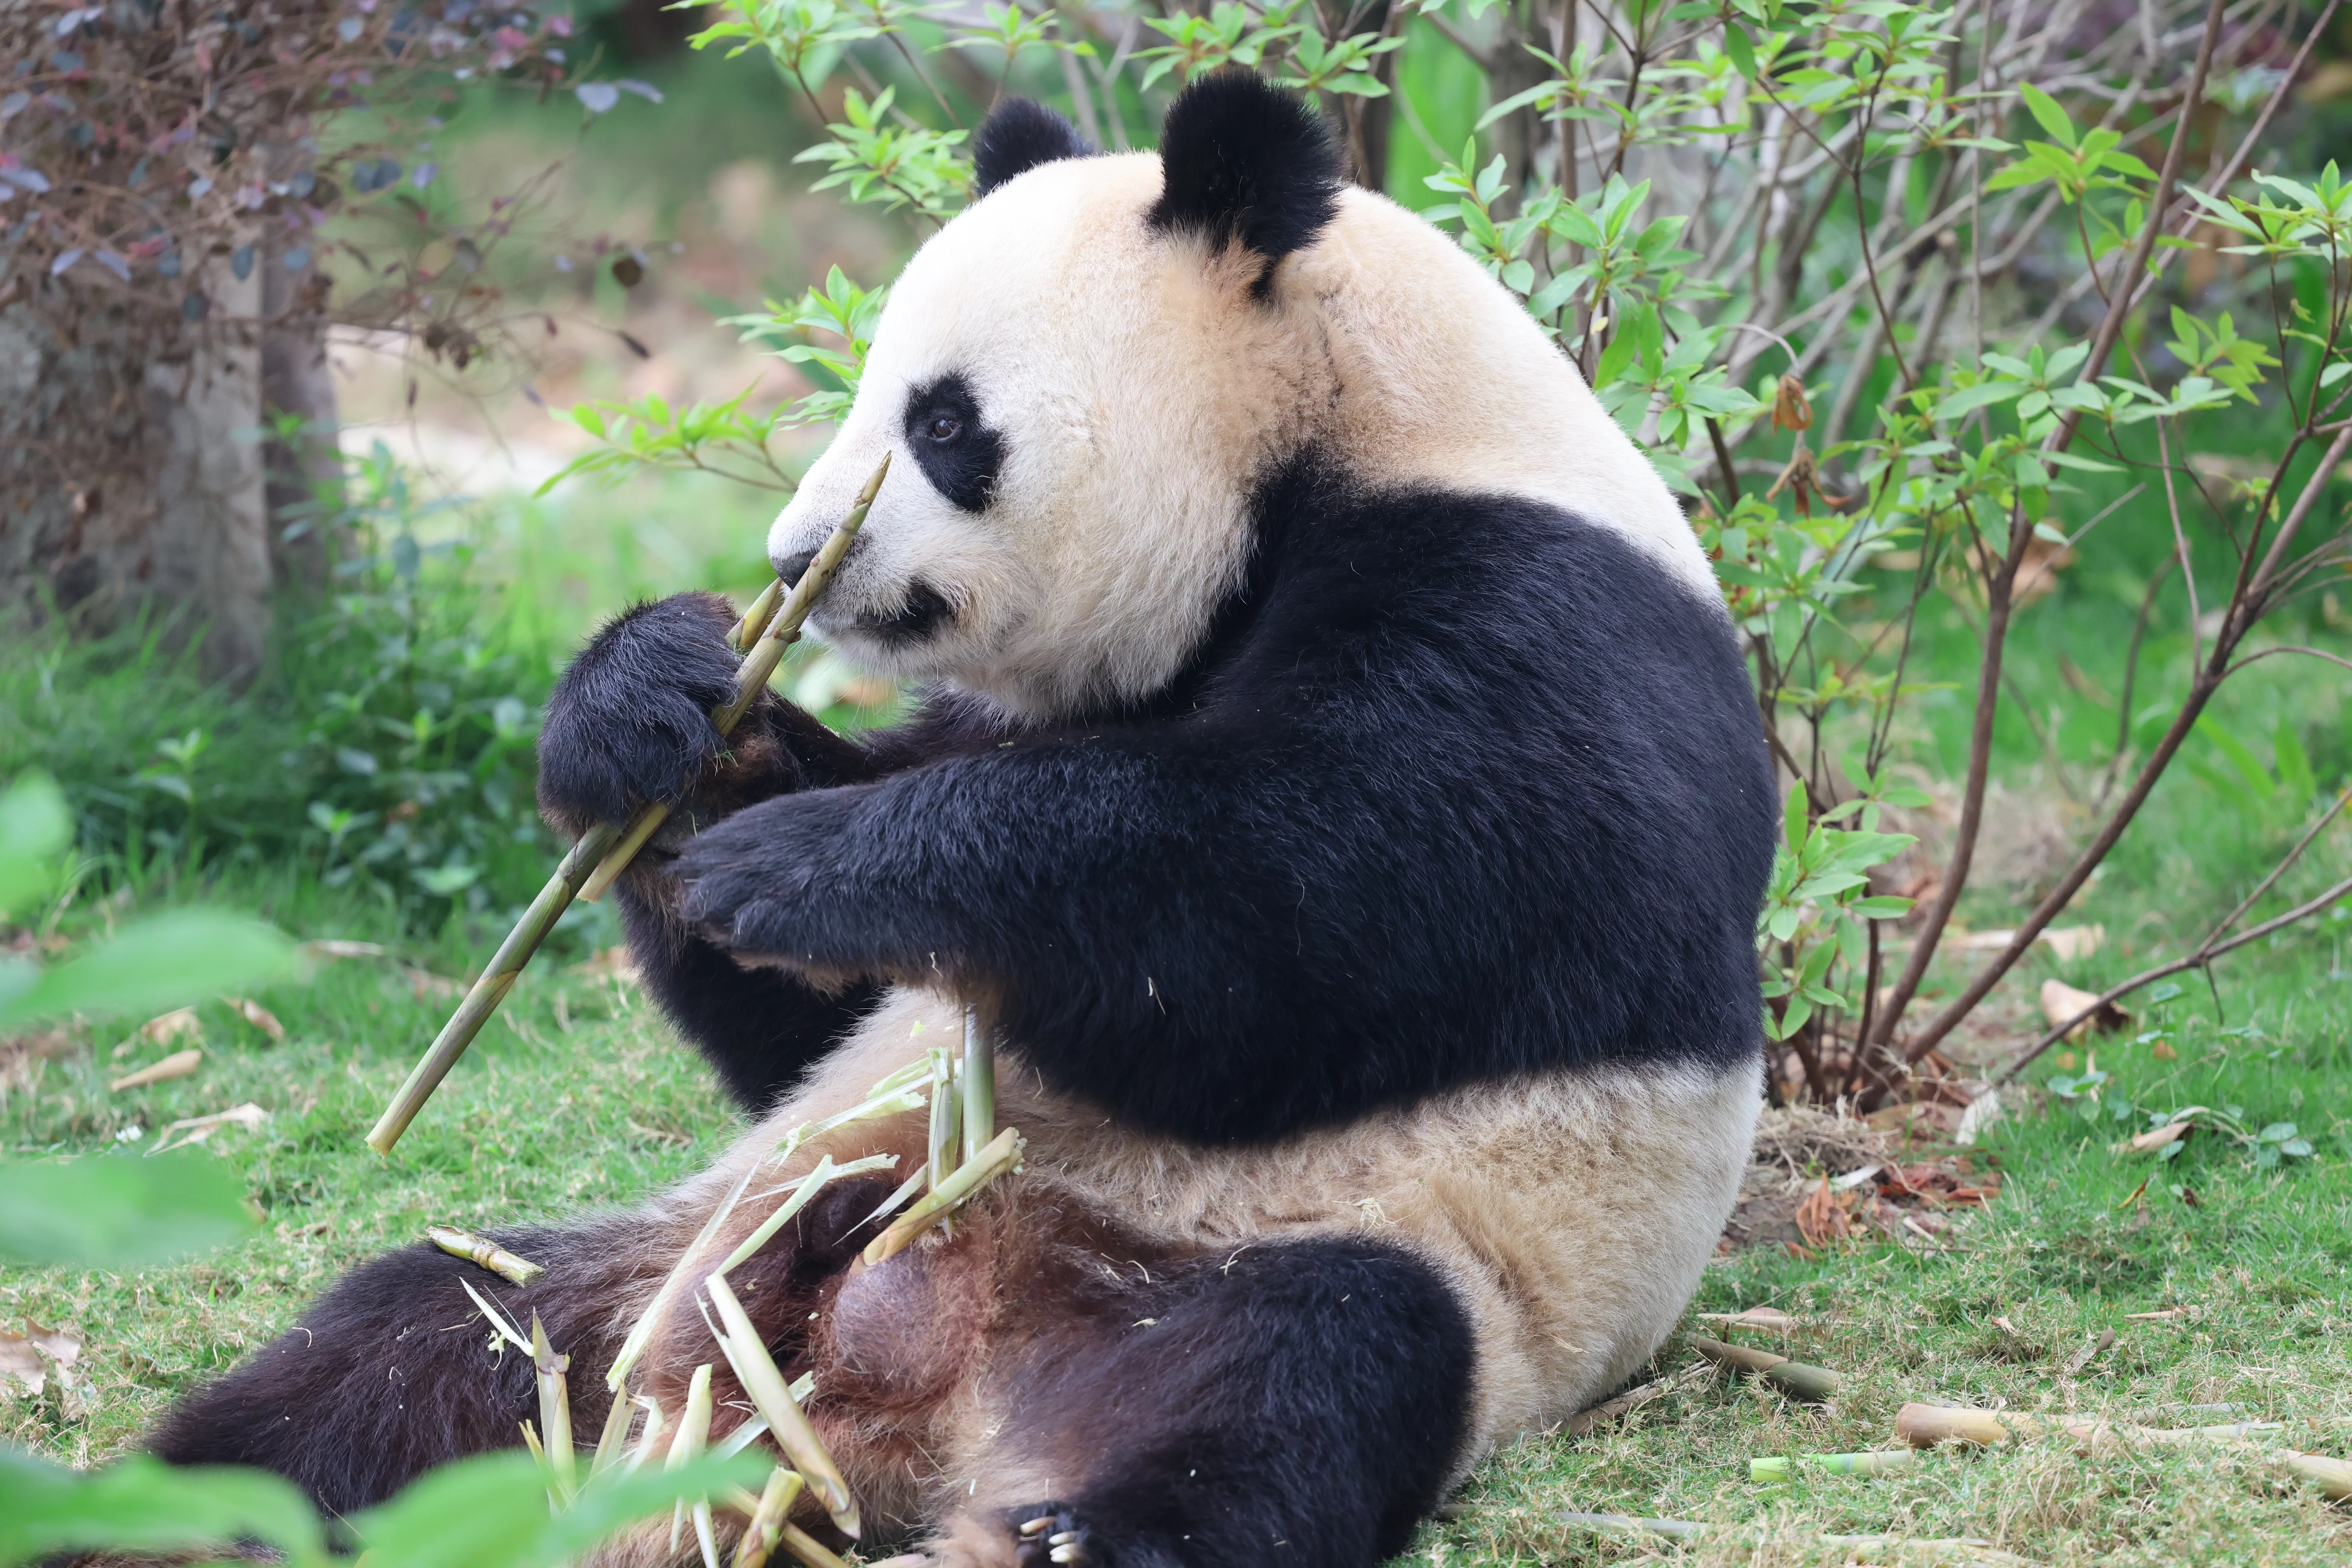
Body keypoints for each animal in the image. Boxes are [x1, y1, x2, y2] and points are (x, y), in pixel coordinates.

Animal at [154, 71, 1776, 1568]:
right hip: (668, 1264)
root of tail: (908, 1372)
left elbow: (1308, 916)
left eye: (941, 423)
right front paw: (657, 713)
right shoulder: (1051, 694)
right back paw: (192, 1500)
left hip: (1338, 1255)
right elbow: (801, 1022)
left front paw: (800, 869)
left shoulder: (1538, 628)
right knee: (418, 1346)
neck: (1344, 432)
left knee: (1289, 1378)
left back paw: (1071, 1527)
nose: (796, 555)